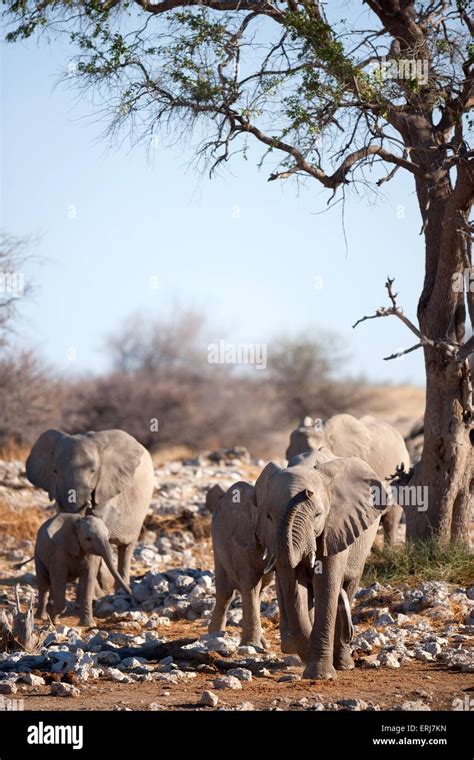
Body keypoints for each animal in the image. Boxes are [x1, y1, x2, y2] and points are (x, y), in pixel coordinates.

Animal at [207, 480, 274, 648]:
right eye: (268, 518)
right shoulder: (241, 540)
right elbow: (250, 584)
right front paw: (251, 646)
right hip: (217, 544)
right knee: (225, 592)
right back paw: (214, 635)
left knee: (262, 589)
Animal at [254, 448, 386, 680]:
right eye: (269, 516)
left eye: (317, 515)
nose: (306, 493)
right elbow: (294, 586)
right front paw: (308, 657)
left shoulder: (336, 526)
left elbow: (327, 581)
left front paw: (320, 675)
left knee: (348, 586)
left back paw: (344, 664)